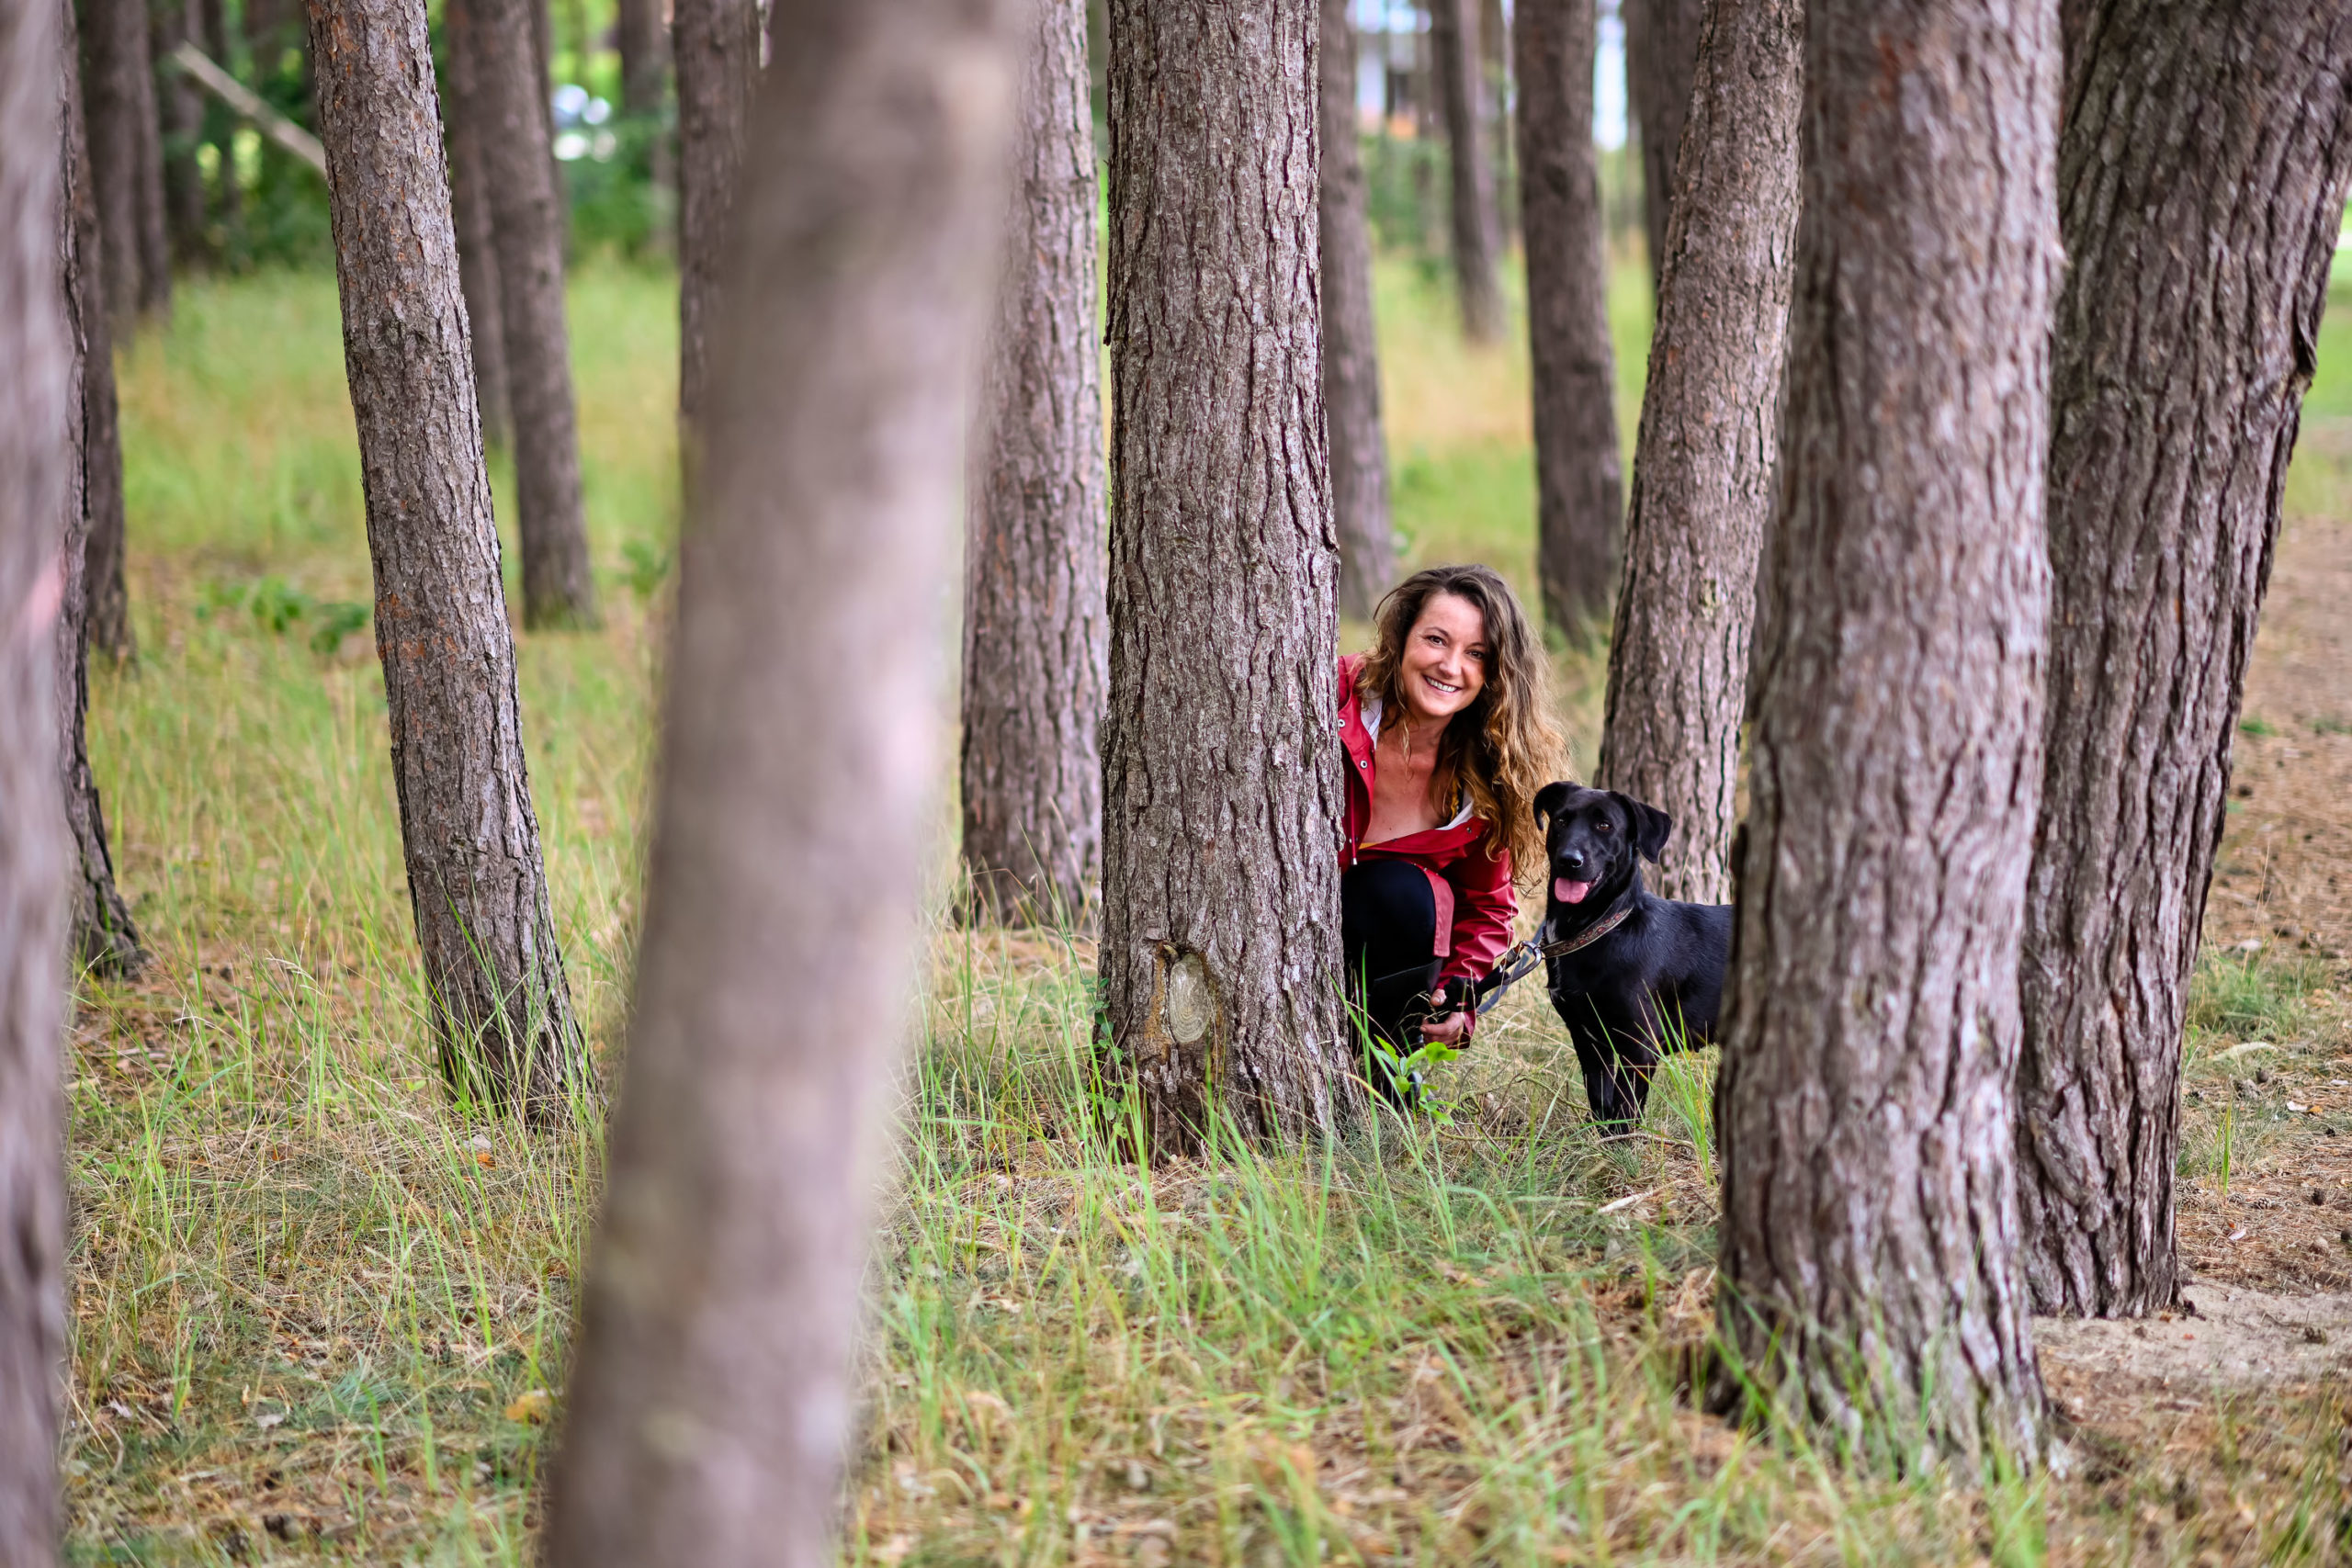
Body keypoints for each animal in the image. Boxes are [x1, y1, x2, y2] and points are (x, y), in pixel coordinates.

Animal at [1531, 781, 1733, 1130]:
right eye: (1561, 820)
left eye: (1604, 825)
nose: (1569, 860)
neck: (1600, 928)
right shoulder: (1589, 1042)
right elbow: (1601, 1104)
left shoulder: (1638, 1045)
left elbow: (1624, 1112)